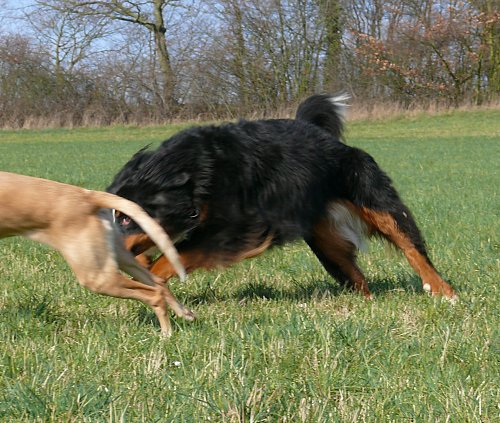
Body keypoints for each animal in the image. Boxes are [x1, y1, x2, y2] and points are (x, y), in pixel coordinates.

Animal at [0, 172, 194, 335]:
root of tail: (88, 196)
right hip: (118, 257)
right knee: (158, 283)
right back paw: (185, 313)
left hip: (96, 275)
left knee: (154, 294)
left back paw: (166, 335)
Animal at [108, 94, 456, 300]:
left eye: (126, 218)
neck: (197, 170)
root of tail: (321, 134)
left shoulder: (239, 227)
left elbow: (174, 256)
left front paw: (146, 280)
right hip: (323, 238)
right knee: (354, 275)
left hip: (373, 195)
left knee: (411, 245)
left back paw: (442, 289)